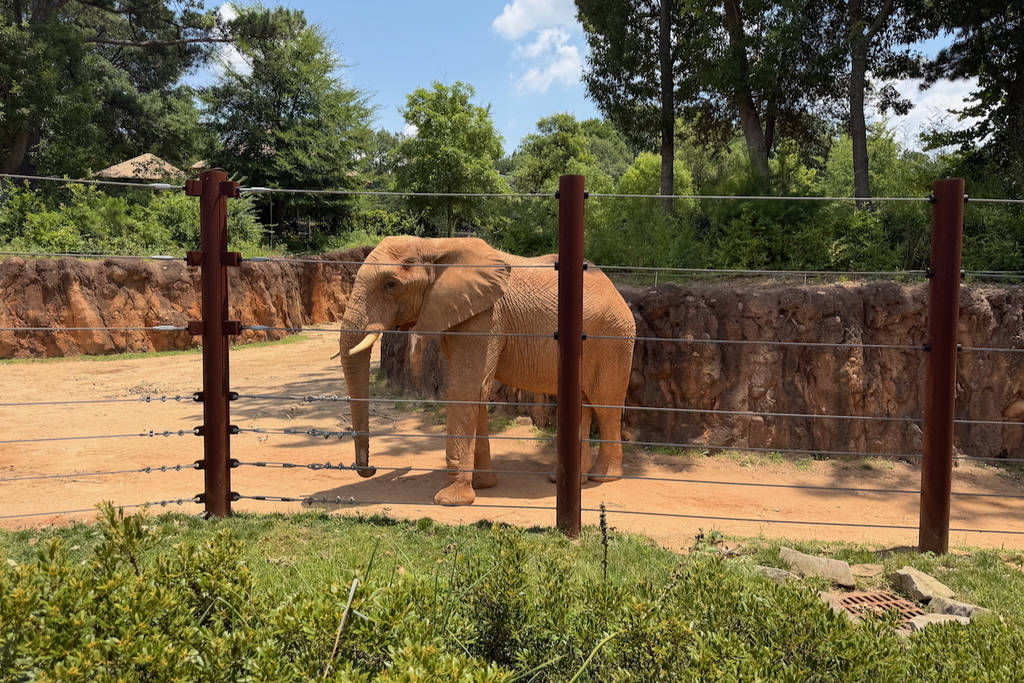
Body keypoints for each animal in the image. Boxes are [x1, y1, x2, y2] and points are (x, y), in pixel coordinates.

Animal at [339, 235, 636, 506]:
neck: (435, 245)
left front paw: (450, 500)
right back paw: (566, 479)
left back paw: (603, 477)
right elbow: (478, 391)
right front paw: (482, 486)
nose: (370, 469)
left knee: (605, 404)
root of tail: (616, 290)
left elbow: (466, 388)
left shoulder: (486, 317)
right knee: (584, 406)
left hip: (612, 338)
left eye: (390, 285)